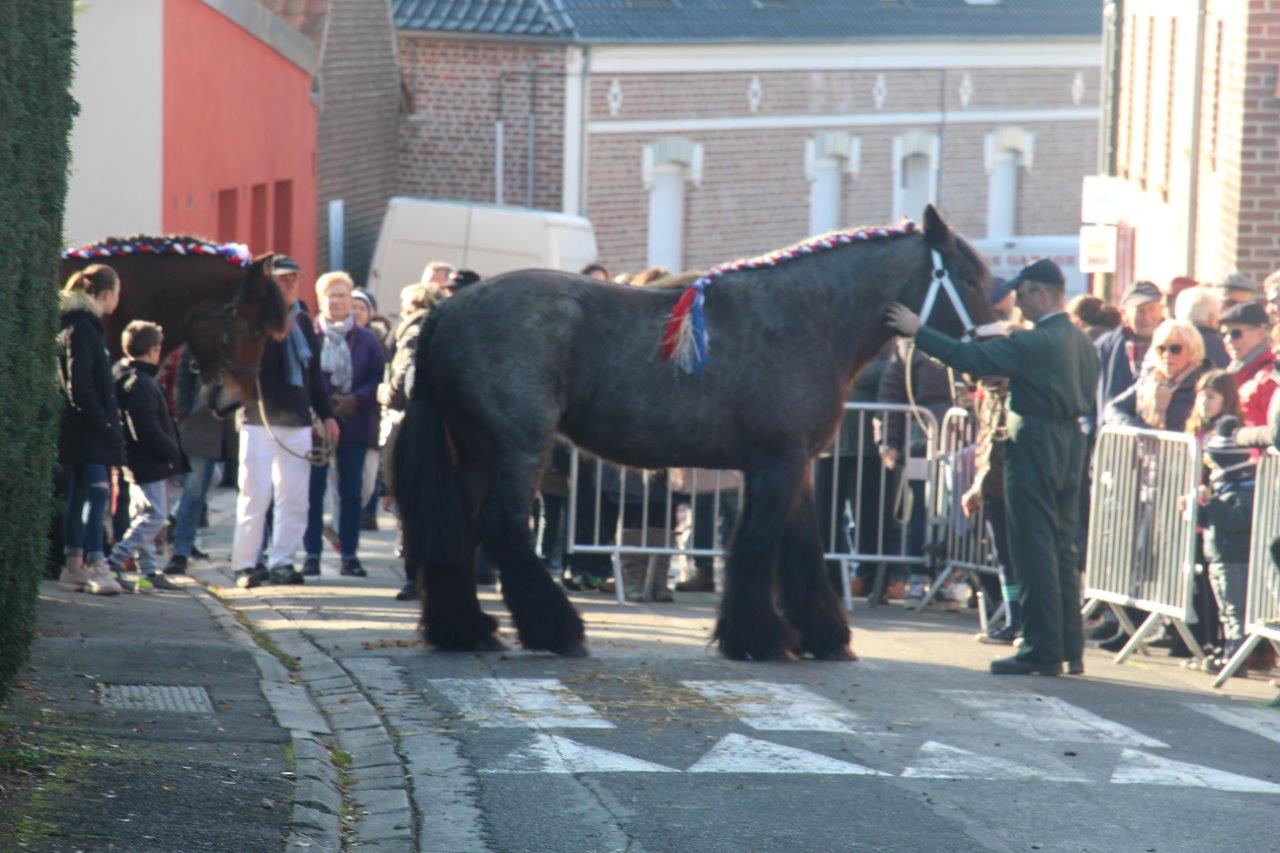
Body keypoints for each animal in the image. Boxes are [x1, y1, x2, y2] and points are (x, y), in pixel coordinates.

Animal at [394, 204, 993, 655]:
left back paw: (466, 630)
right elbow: (756, 545)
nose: (986, 363)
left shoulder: (796, 465)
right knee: (502, 527)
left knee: (458, 531)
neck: (806, 317)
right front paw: (759, 638)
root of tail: (449, 310)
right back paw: (557, 630)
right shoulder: (774, 464)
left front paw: (823, 636)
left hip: (474, 453)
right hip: (518, 450)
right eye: (967, 277)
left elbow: (802, 548)